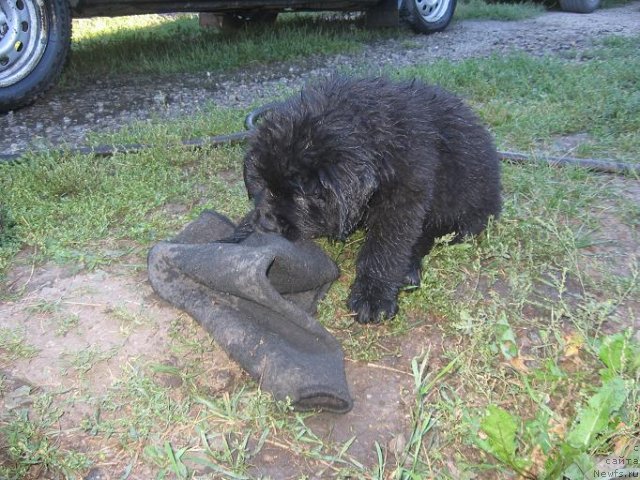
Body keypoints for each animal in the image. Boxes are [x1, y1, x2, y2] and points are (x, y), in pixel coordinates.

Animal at [239, 77, 500, 324]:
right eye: (264, 185)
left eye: (301, 195)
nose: (267, 225)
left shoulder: (404, 196)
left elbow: (385, 247)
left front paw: (372, 297)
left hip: (462, 207)